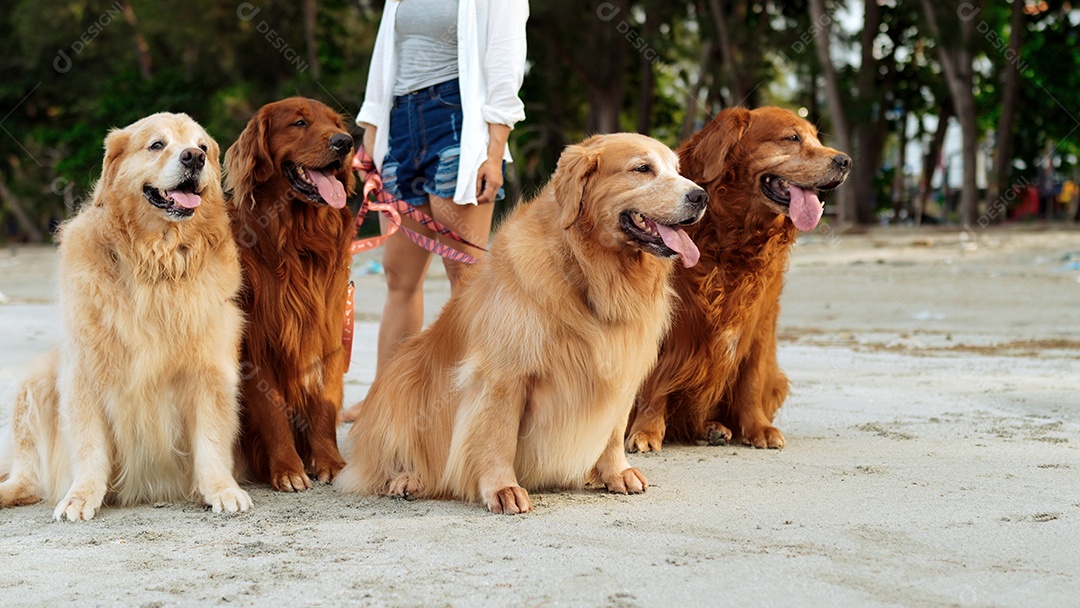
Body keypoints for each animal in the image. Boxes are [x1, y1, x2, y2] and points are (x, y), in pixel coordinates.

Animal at [0, 111, 248, 520]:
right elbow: (89, 446)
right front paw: (82, 496)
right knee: (25, 477)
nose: (194, 157)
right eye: (157, 144)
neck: (157, 261)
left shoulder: (210, 369)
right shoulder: (84, 372)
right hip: (34, 384)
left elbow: (212, 439)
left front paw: (222, 489)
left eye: (203, 147)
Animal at [224, 97, 356, 492]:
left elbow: (324, 406)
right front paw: (287, 468)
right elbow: (273, 411)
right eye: (299, 123)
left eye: (336, 123)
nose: (346, 143)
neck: (296, 242)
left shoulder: (328, 339)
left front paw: (330, 462)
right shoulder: (256, 348)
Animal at [336, 133, 708, 514]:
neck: (585, 269)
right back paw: (407, 478)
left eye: (677, 169)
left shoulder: (621, 365)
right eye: (642, 168)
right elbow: (497, 435)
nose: (700, 196)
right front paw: (502, 488)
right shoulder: (503, 374)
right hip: (400, 381)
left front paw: (616, 472)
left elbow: (613, 429)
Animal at [630, 106, 846, 453]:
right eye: (792, 137)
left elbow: (750, 381)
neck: (732, 240)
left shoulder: (760, 319)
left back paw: (714, 428)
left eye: (816, 137)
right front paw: (646, 430)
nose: (845, 161)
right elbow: (651, 383)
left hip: (777, 379)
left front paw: (758, 428)